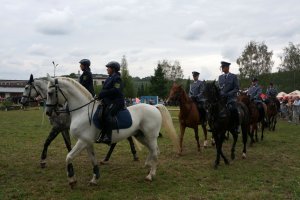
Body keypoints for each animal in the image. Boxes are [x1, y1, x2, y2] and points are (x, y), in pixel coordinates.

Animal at [44, 75, 178, 188]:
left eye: (50, 93)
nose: (48, 112)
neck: (82, 111)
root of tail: (154, 107)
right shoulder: (87, 142)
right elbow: (93, 160)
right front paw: (95, 179)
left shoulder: (82, 141)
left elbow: (68, 157)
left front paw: (72, 180)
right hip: (141, 136)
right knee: (154, 150)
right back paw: (148, 166)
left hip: (150, 136)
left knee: (154, 151)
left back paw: (150, 175)